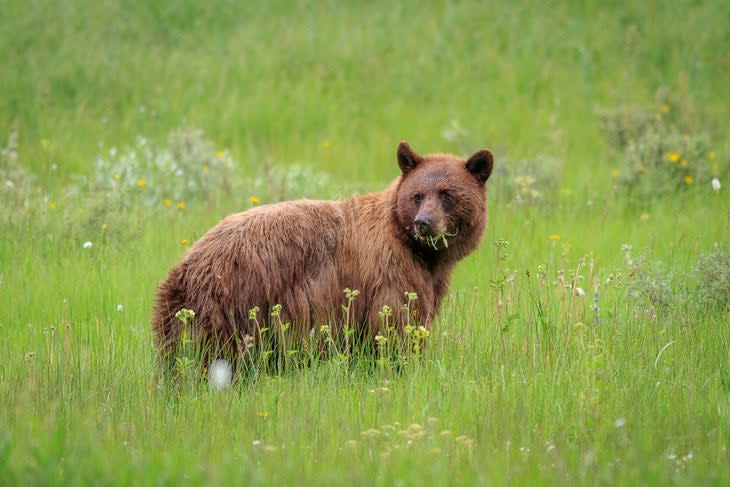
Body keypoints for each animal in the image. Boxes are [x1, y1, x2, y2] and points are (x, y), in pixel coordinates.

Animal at [151, 143, 492, 368]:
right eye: (417, 195)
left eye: (447, 194)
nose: (424, 222)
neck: (420, 252)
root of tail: (183, 266)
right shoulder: (389, 269)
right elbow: (395, 321)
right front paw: (400, 362)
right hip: (229, 304)